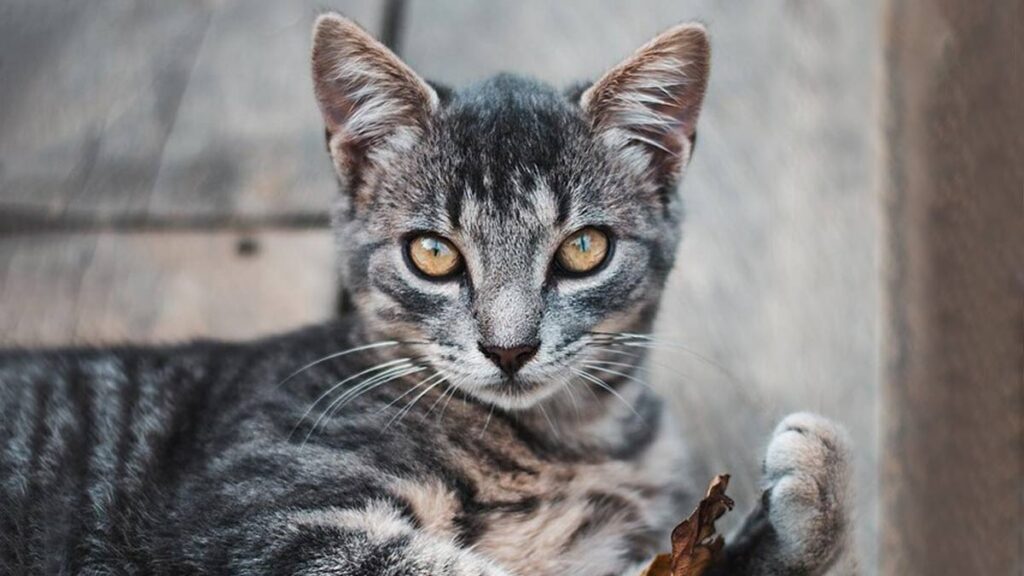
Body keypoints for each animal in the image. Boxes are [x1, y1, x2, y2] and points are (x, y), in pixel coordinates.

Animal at [0, 13, 855, 575]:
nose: (510, 348)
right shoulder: (263, 512)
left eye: (583, 248)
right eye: (434, 254)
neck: (566, 440)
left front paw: (817, 501)